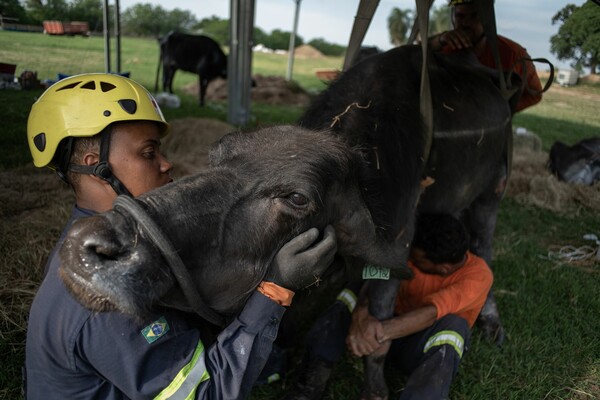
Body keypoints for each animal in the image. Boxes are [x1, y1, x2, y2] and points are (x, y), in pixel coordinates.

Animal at [298, 45, 512, 398]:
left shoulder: (400, 236)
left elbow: (381, 313)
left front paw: (374, 385)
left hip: (492, 188)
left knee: (484, 249)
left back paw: (493, 322)